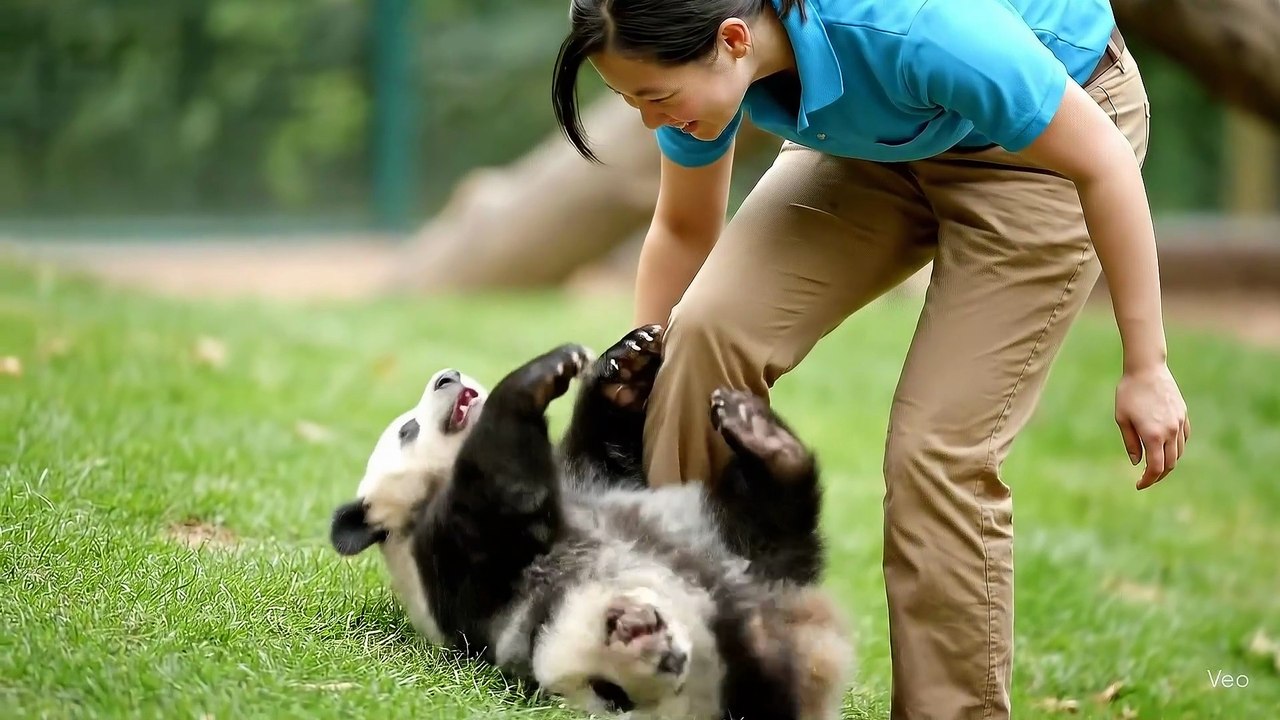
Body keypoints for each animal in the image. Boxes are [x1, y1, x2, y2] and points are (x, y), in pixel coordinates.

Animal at [329, 325, 854, 720]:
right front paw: (545, 372)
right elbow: (498, 487)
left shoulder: (591, 478)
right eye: (407, 430)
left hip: (728, 535)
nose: (447, 376)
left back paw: (759, 434)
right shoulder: (463, 564)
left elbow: (603, 446)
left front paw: (626, 363)